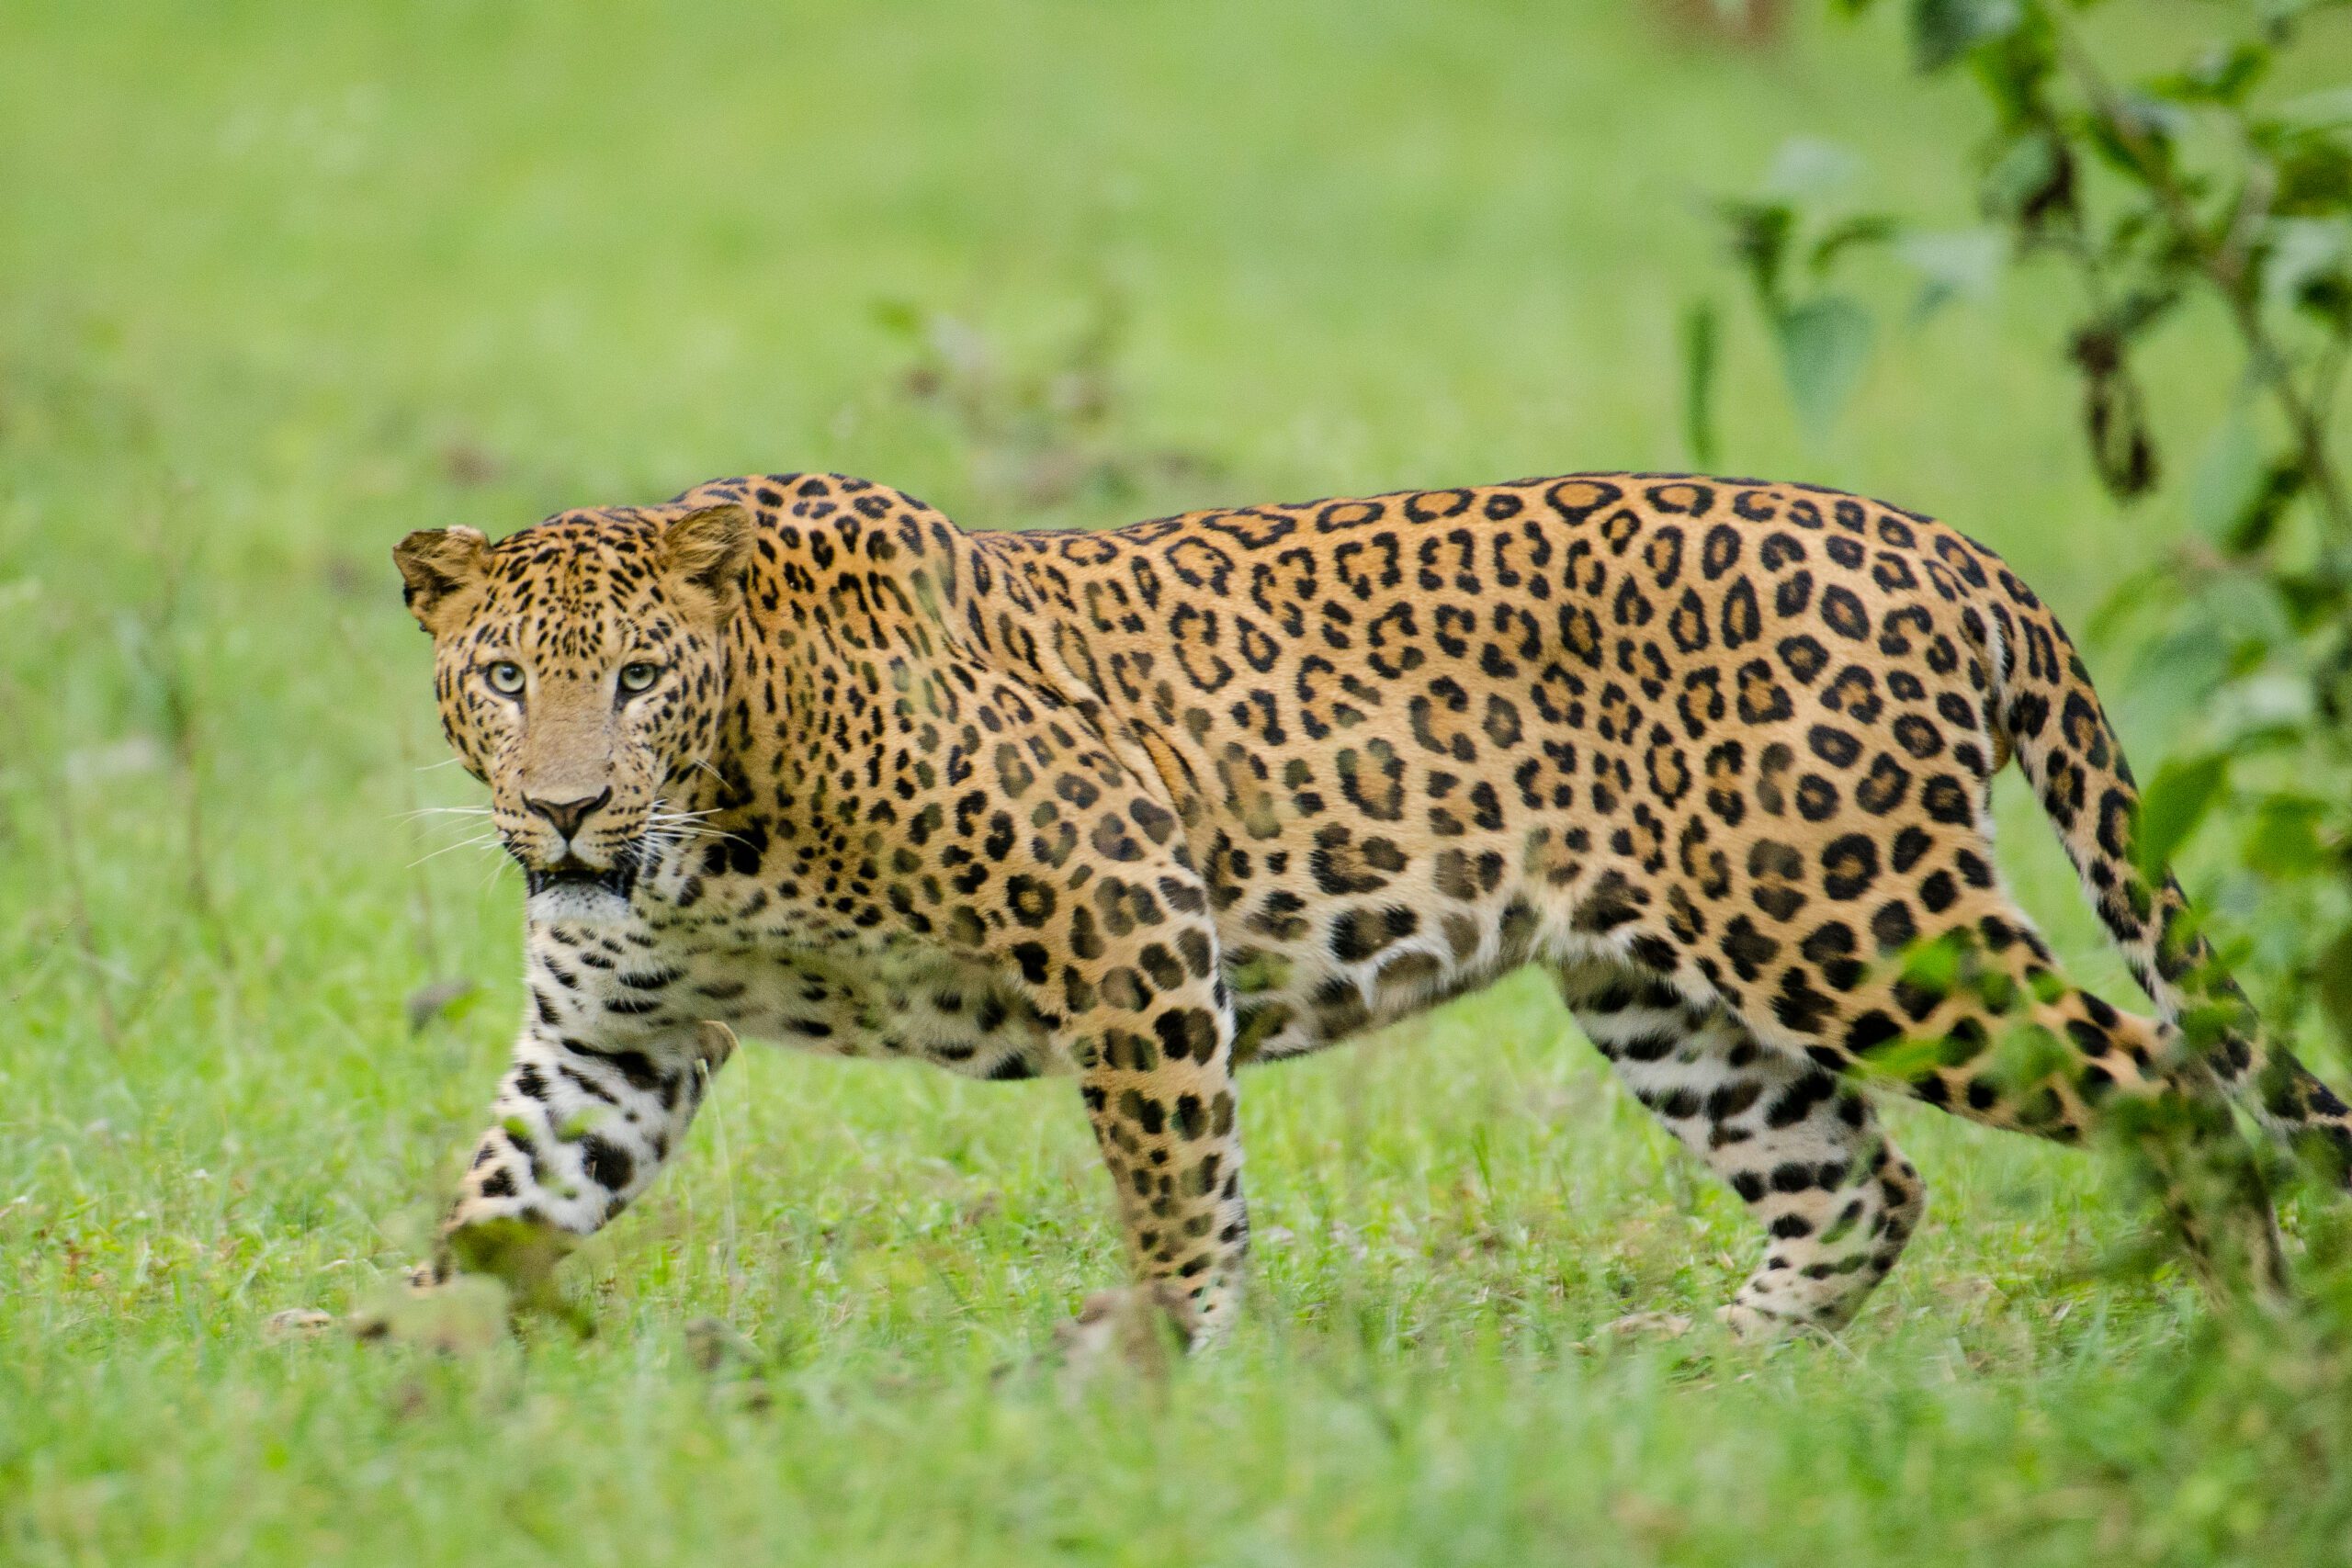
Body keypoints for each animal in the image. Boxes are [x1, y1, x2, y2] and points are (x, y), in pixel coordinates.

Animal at [392, 470, 2352, 1343]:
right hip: (1665, 988)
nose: (564, 806)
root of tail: (1950, 546)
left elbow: (1176, 1180)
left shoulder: (1125, 901)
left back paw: (2257, 1344)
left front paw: (1161, 1368)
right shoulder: (612, 1037)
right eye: (502, 679)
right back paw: (1706, 1369)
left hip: (1854, 919)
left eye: (639, 677)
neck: (716, 825)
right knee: (1858, 1180)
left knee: (2172, 1092)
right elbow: (500, 1198)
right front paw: (383, 1374)